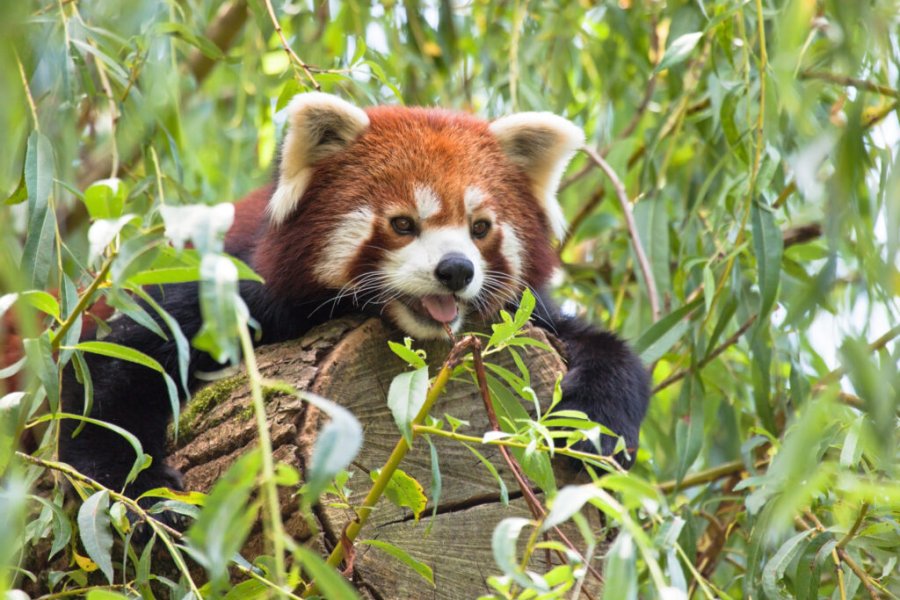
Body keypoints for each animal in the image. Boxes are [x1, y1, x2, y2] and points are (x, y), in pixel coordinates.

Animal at [58, 96, 648, 512]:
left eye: (480, 228)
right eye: (403, 224)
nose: (456, 270)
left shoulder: (529, 314)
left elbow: (611, 355)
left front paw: (595, 428)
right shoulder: (230, 287)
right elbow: (118, 364)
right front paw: (137, 489)